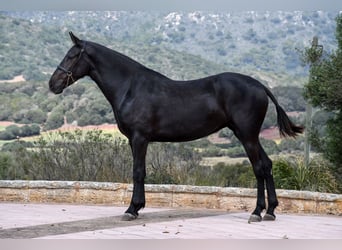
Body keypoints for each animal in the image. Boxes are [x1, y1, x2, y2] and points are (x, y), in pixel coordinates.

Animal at [49, 32, 304, 222]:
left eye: (71, 56)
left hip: (247, 135)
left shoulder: (140, 138)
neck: (131, 87)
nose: (53, 84)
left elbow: (138, 171)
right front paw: (137, 207)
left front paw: (132, 209)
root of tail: (260, 85)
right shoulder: (134, 140)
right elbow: (140, 171)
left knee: (259, 168)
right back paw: (270, 211)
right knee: (267, 165)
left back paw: (257, 212)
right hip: (249, 135)